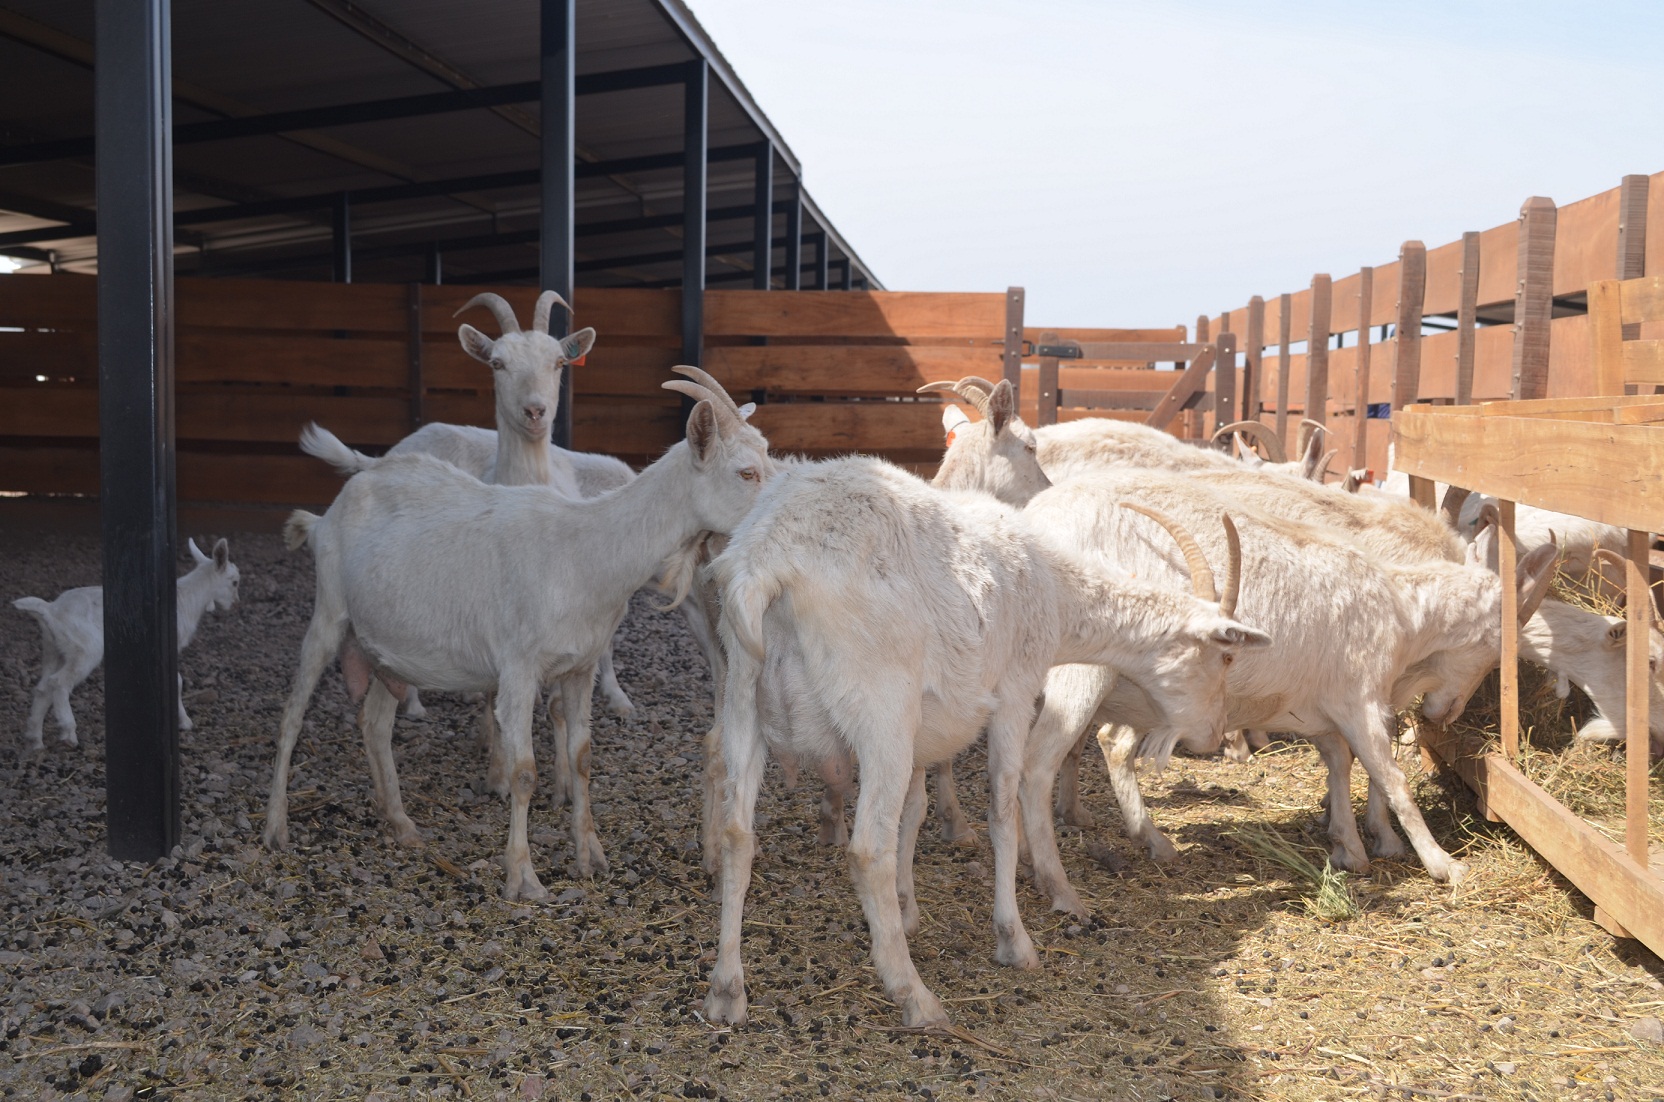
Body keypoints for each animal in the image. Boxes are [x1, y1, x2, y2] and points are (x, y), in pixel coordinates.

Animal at [17, 539, 241, 755]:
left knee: (43, 688)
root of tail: (50, 610)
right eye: (235, 582)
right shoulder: (172, 645)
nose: (235, 603)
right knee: (59, 682)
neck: (188, 598)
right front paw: (184, 722)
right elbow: (176, 681)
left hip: (54, 650)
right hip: (84, 648)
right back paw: (69, 733)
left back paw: (35, 740)